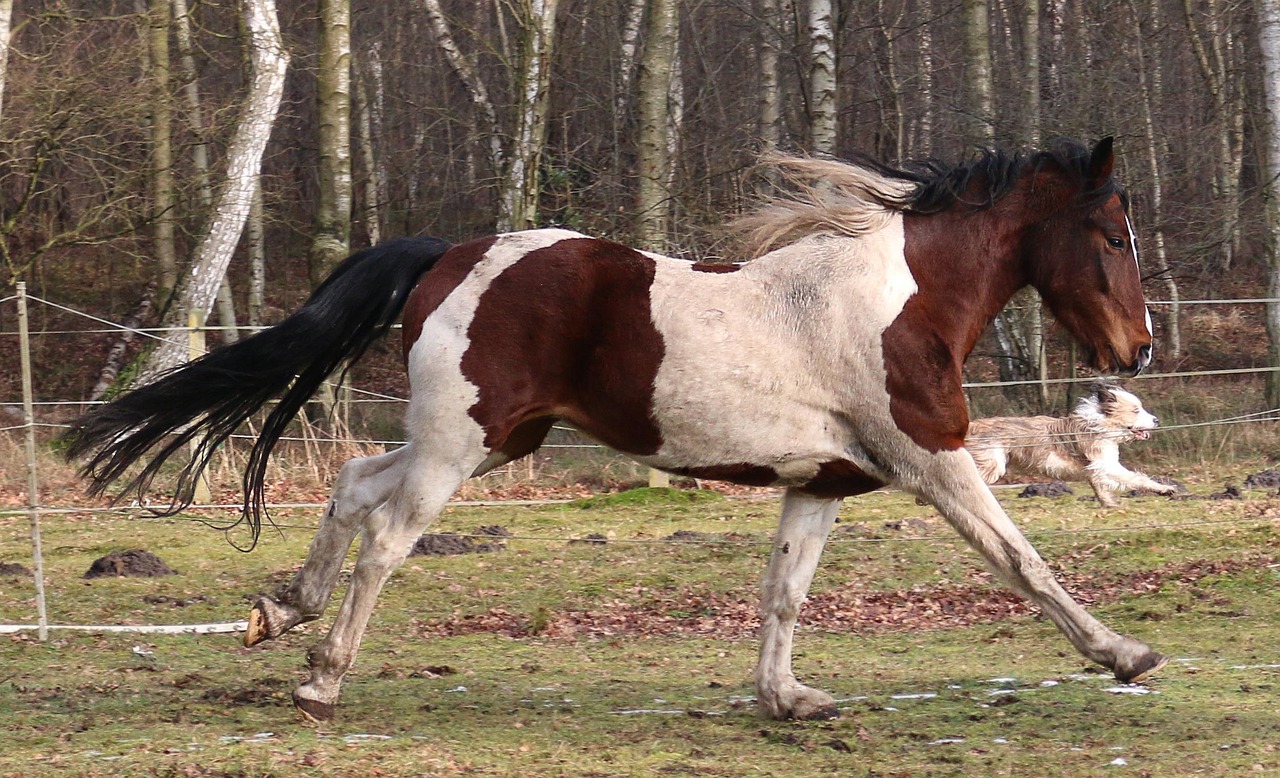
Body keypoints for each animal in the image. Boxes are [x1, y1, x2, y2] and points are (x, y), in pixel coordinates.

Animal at [63, 137, 1165, 723]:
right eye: (1111, 234)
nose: (1138, 350)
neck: (900, 301)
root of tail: (447, 252)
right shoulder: (930, 462)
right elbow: (1022, 559)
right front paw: (1123, 655)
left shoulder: (820, 482)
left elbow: (783, 594)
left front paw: (786, 700)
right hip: (461, 445)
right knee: (384, 538)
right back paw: (321, 682)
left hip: (492, 439)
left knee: (352, 483)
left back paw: (280, 610)